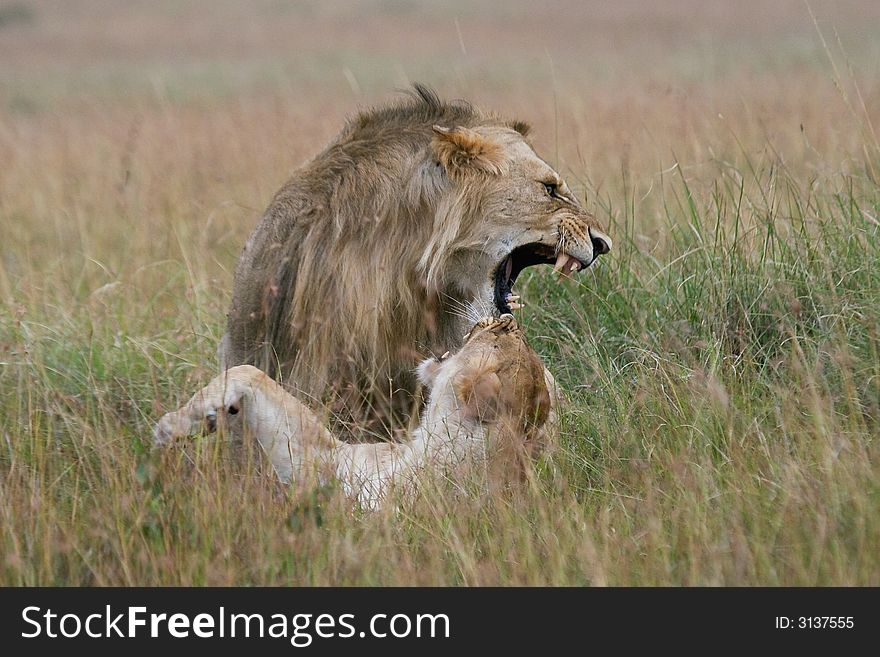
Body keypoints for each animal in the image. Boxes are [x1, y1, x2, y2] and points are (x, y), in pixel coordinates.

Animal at [152, 312, 552, 508]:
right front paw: (206, 418)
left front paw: (170, 426)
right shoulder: (333, 458)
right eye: (511, 335)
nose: (506, 316)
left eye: (500, 335)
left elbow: (249, 372)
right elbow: (256, 379)